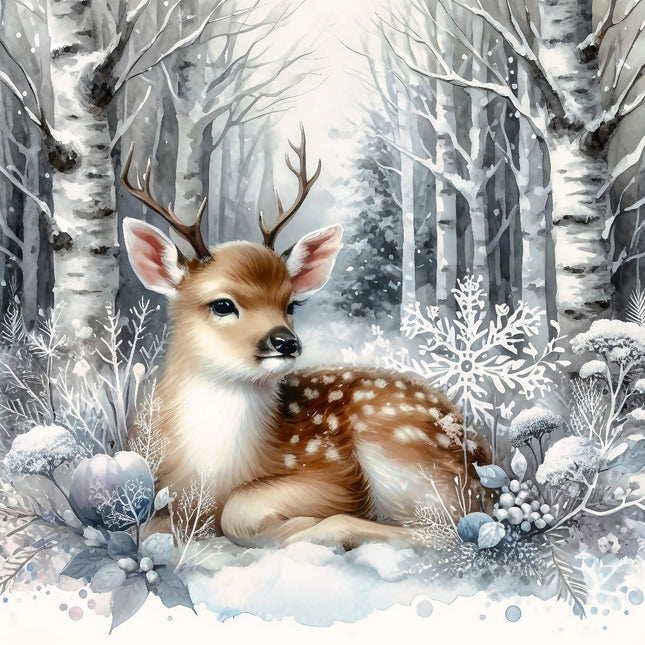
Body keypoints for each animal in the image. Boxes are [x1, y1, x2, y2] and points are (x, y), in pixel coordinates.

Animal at [121, 127, 492, 550]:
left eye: (291, 304)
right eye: (222, 304)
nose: (286, 342)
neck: (213, 477)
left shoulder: (335, 475)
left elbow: (238, 509)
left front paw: (293, 526)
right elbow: (146, 525)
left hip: (402, 452)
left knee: (451, 529)